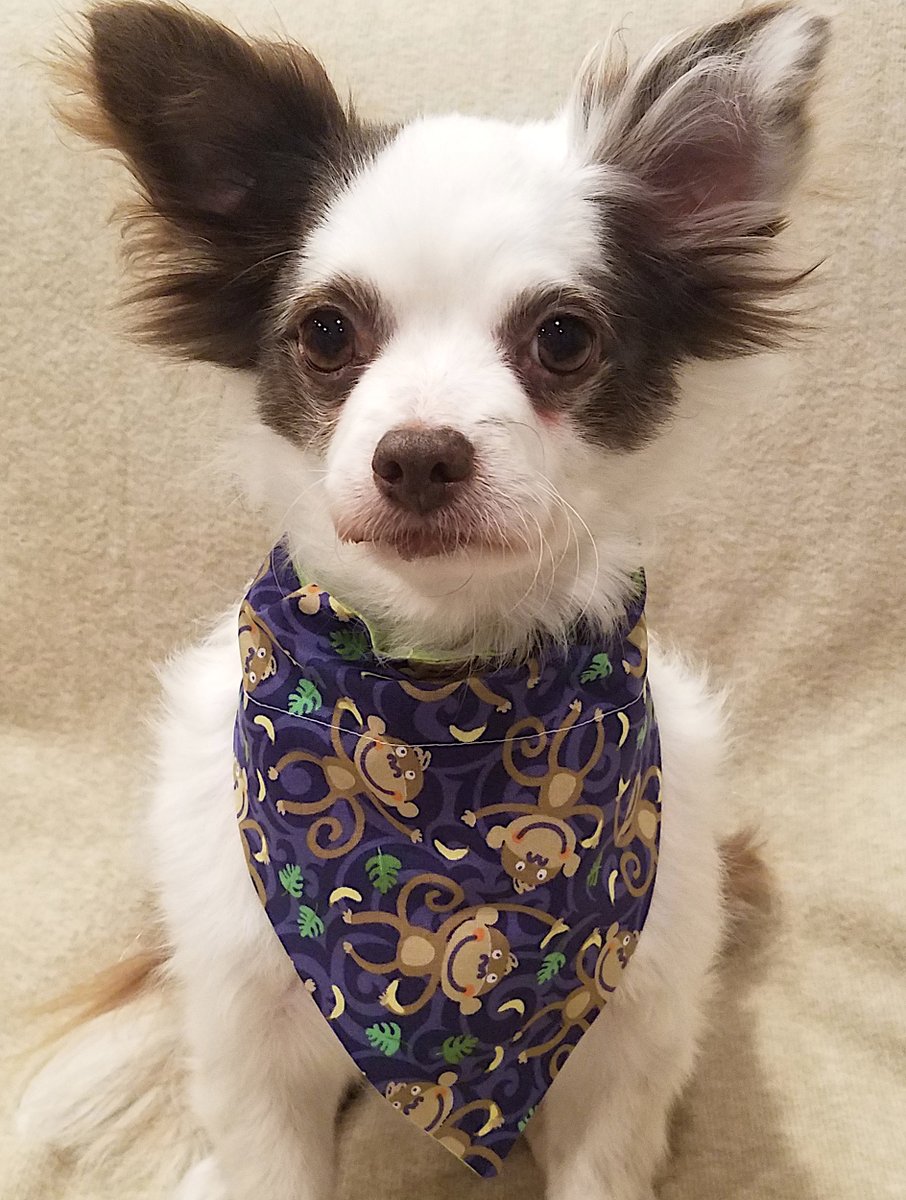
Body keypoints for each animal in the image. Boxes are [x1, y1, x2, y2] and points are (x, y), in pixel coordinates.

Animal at [266, 697, 429, 858]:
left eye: (410, 774)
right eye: (402, 751)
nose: (395, 765)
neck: (358, 776)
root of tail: (334, 790)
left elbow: (387, 815)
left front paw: (414, 835)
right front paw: (348, 704)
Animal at [461, 699, 606, 893]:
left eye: (541, 875)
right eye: (519, 866)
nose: (524, 885)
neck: (549, 819)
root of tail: (570, 773)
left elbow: (597, 815)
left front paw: (593, 840)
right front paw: (471, 817)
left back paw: (593, 716)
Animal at [512, 921, 640, 1068]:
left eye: (628, 953)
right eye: (626, 939)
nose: (622, 956)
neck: (594, 988)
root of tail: (565, 1018)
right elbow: (580, 962)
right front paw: (593, 936)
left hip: (569, 1025)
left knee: (550, 1042)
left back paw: (524, 1053)